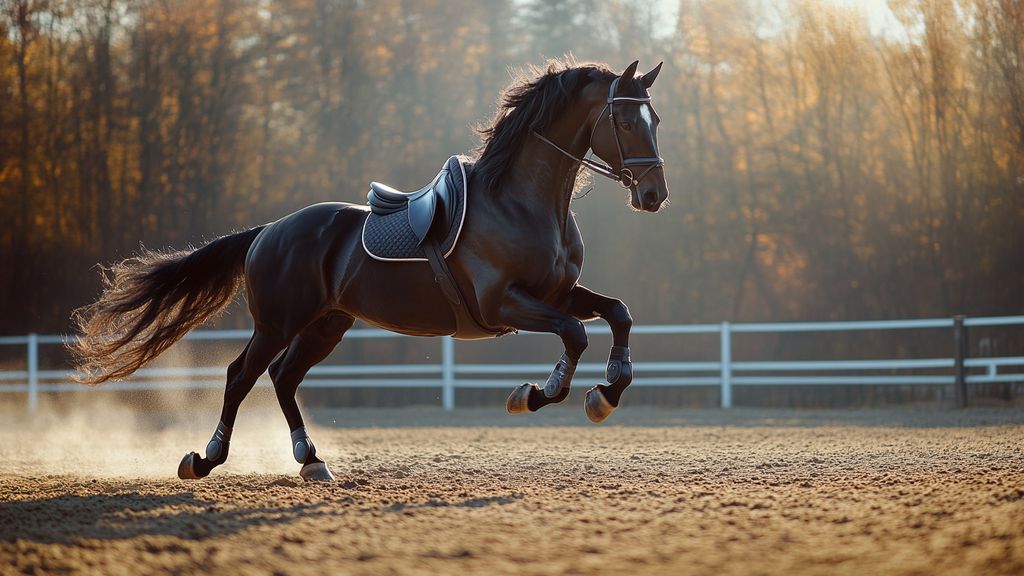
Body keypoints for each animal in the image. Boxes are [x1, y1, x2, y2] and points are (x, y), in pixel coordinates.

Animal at [68, 59, 667, 479]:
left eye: (655, 118)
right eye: (622, 119)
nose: (655, 195)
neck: (521, 202)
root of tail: (267, 232)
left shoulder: (559, 292)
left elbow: (618, 313)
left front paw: (608, 391)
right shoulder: (505, 303)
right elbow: (574, 335)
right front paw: (538, 394)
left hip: (326, 324)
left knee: (283, 377)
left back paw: (310, 459)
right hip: (278, 322)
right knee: (241, 376)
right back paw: (205, 458)